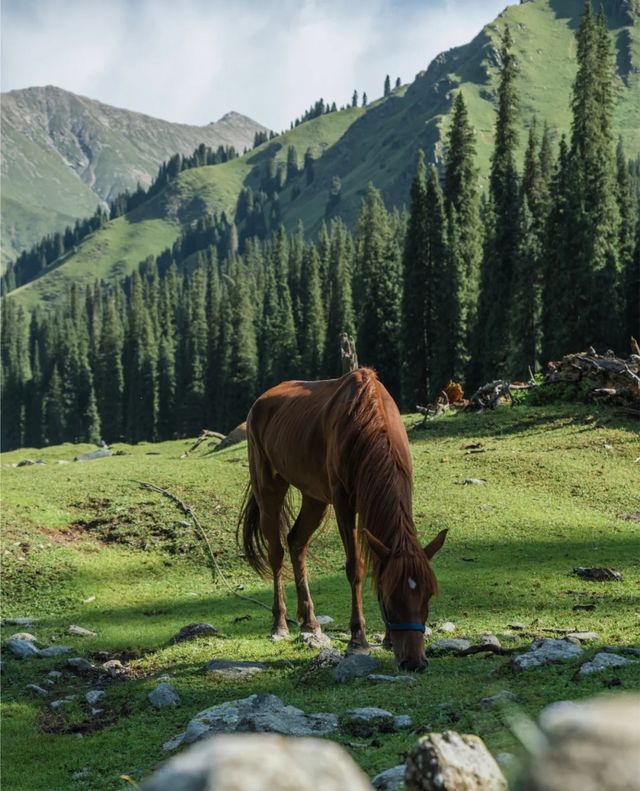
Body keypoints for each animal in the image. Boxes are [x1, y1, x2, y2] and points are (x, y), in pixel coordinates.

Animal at [238, 368, 448, 672]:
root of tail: (260, 402)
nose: (414, 662)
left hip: (314, 497)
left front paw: (387, 639)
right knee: (276, 552)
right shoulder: (343, 503)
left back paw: (310, 622)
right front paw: (358, 639)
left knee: (296, 542)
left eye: (428, 595)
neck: (367, 422)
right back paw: (279, 624)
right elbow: (355, 568)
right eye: (391, 597)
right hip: (269, 488)